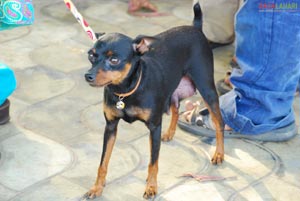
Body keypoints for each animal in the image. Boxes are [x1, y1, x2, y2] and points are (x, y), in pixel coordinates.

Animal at [83, 1, 224, 199]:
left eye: (114, 59)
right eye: (91, 55)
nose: (88, 76)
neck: (125, 91)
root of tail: (195, 28)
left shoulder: (154, 127)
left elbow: (153, 162)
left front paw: (151, 187)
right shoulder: (110, 126)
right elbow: (103, 162)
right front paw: (97, 187)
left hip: (207, 89)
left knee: (219, 121)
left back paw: (219, 154)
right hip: (173, 89)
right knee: (176, 108)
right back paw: (170, 133)